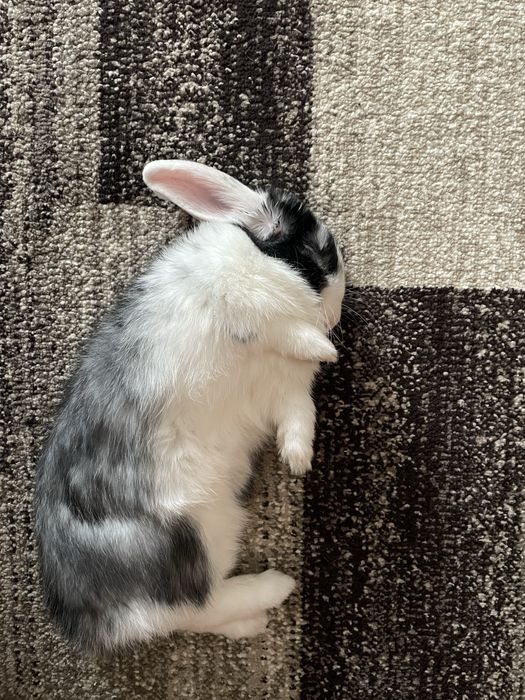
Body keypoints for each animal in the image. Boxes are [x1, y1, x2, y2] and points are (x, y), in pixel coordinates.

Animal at [34, 160, 346, 654]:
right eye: (321, 252)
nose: (334, 317)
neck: (257, 259)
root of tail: (97, 620)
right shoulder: (241, 300)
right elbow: (280, 326)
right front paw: (322, 347)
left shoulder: (285, 393)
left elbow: (300, 416)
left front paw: (298, 460)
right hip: (190, 535)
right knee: (194, 604)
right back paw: (276, 587)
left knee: (189, 613)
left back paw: (253, 620)